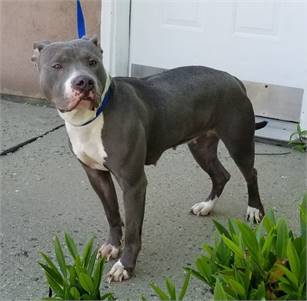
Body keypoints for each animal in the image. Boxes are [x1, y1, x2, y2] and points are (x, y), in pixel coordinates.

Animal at [31, 35, 268, 282]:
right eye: (57, 66)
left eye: (93, 62)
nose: (84, 82)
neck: (92, 118)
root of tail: (233, 78)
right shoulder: (96, 176)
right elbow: (112, 213)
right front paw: (112, 246)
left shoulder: (133, 183)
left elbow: (133, 230)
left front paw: (125, 265)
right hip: (201, 147)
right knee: (221, 175)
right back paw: (206, 206)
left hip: (239, 143)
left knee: (250, 173)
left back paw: (254, 209)